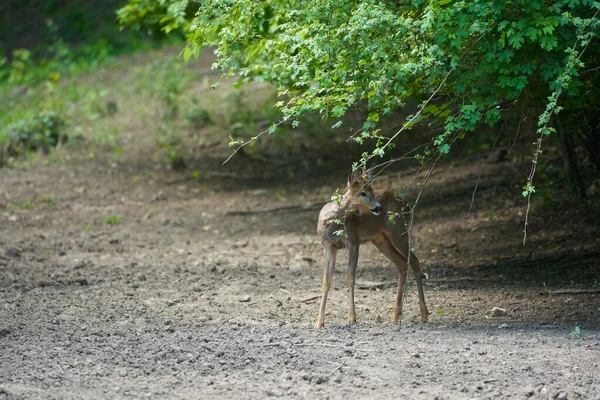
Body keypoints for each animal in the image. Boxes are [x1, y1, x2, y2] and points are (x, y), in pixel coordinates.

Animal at [314, 167, 426, 326]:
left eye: (371, 190)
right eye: (363, 193)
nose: (379, 207)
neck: (332, 224)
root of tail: (407, 203)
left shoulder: (353, 242)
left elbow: (351, 277)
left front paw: (352, 318)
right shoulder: (328, 247)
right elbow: (326, 281)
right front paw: (319, 323)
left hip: (398, 231)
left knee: (414, 261)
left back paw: (424, 314)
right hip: (380, 239)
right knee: (402, 263)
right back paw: (395, 315)